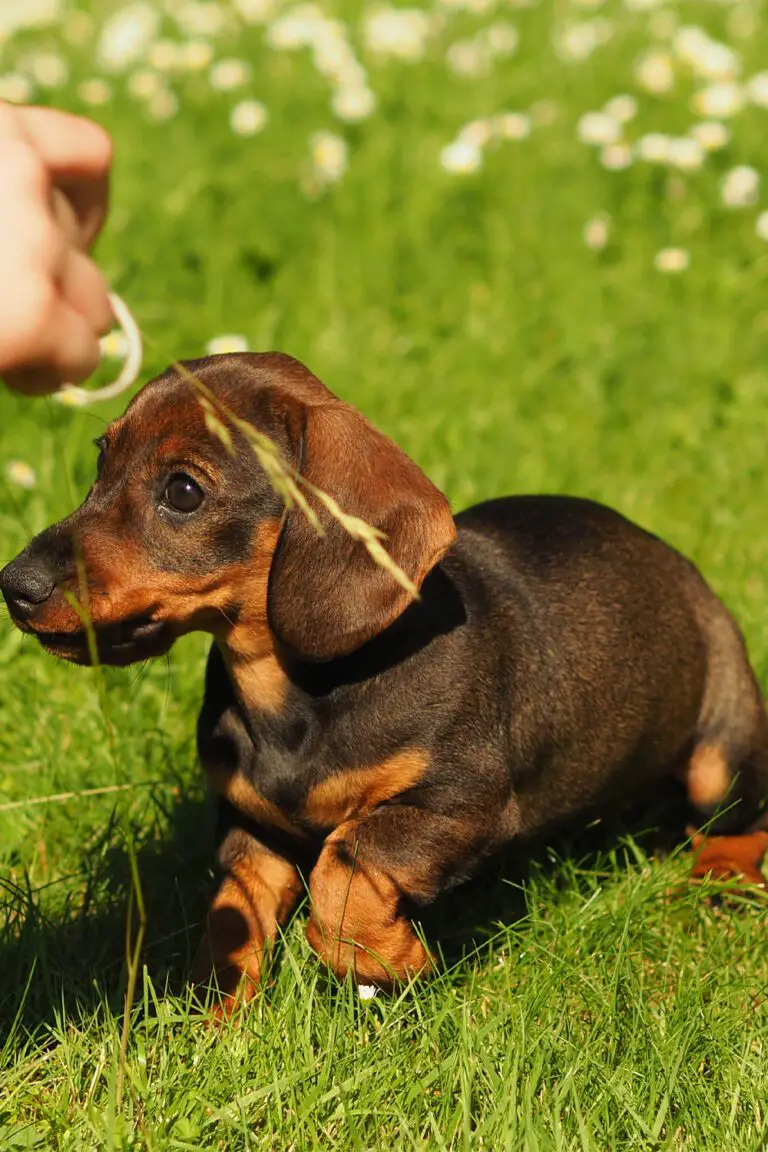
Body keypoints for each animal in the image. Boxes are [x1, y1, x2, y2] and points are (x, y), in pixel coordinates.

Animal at [1, 352, 768, 1009]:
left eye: (183, 491)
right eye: (102, 460)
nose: (15, 585)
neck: (294, 697)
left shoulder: (459, 801)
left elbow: (344, 866)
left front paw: (385, 958)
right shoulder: (250, 829)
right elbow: (231, 921)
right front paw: (215, 1020)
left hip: (720, 750)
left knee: (737, 816)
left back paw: (723, 875)